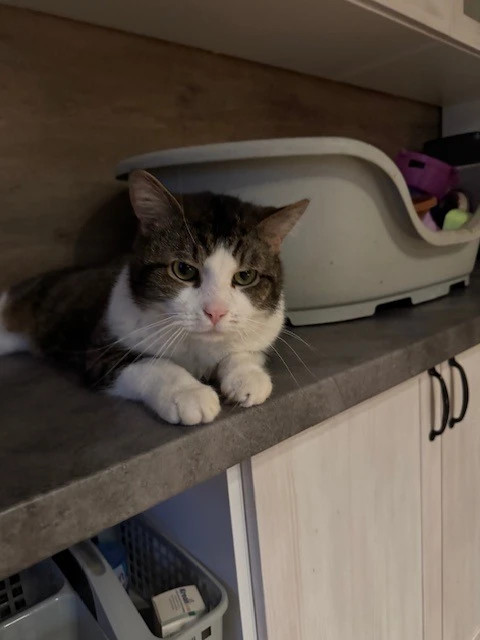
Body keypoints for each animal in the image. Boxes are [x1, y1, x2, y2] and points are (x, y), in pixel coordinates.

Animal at [0, 170, 309, 425]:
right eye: (183, 270)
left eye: (245, 276)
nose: (215, 312)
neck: (197, 345)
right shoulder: (101, 351)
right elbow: (152, 363)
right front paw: (188, 392)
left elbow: (243, 351)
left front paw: (247, 376)